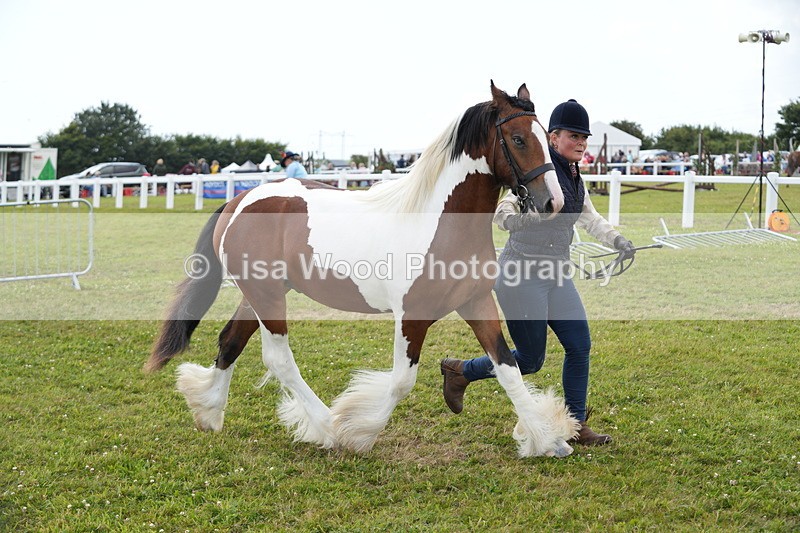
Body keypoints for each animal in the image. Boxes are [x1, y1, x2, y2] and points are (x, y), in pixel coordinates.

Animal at [146, 81, 580, 458]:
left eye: (546, 136)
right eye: (519, 139)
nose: (553, 203)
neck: (439, 222)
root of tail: (239, 200)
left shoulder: (476, 302)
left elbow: (507, 367)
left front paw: (547, 440)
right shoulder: (412, 316)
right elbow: (402, 382)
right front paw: (358, 431)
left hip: (262, 294)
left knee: (230, 341)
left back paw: (208, 410)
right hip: (267, 296)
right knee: (278, 359)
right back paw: (326, 427)